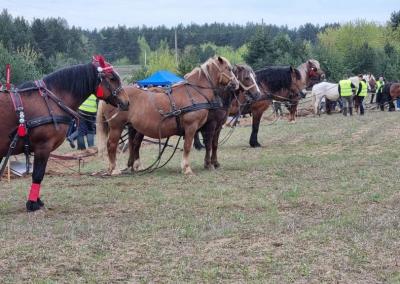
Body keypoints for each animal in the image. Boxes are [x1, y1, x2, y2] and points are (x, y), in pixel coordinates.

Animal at [0, 55, 126, 211]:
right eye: (112, 78)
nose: (127, 102)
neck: (51, 100)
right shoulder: (43, 146)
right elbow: (38, 174)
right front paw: (33, 203)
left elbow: (38, 173)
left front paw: (36, 200)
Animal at [97, 56, 239, 175]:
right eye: (229, 69)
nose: (236, 84)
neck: (194, 92)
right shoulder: (192, 127)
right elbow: (189, 146)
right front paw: (187, 168)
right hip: (116, 127)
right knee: (111, 145)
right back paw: (114, 169)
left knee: (133, 144)